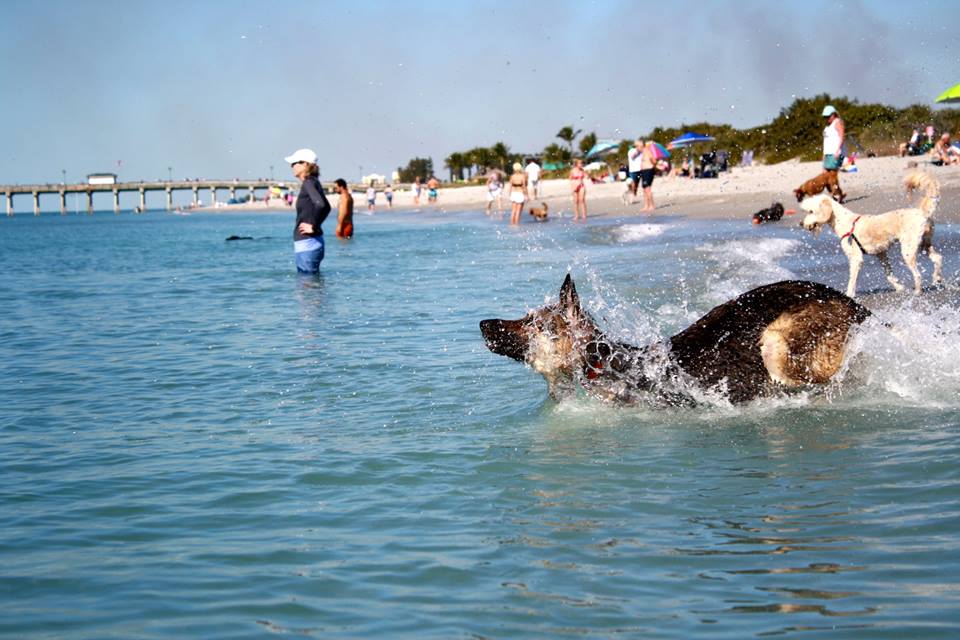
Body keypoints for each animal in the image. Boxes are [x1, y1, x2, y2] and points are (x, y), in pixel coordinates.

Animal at [800, 171, 940, 298]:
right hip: (924, 244)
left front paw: (849, 295)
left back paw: (917, 291)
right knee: (938, 258)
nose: (801, 223)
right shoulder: (881, 254)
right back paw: (937, 278)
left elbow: (852, 281)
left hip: (908, 250)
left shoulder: (856, 258)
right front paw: (899, 287)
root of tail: (922, 213)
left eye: (811, 211)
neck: (845, 222)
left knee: (918, 274)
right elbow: (888, 274)